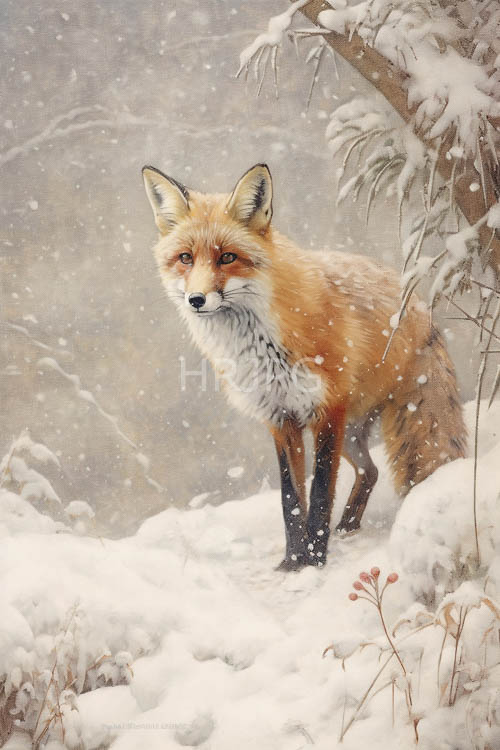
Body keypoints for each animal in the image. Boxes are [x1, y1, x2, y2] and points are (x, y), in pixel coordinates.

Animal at [142, 163, 467, 570]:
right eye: (185, 258)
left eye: (227, 257)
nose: (196, 299)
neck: (262, 345)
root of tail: (424, 310)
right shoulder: (280, 417)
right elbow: (290, 499)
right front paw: (293, 560)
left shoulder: (327, 410)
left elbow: (320, 491)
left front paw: (315, 558)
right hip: (352, 434)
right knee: (371, 471)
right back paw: (347, 527)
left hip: (355, 422)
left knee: (375, 469)